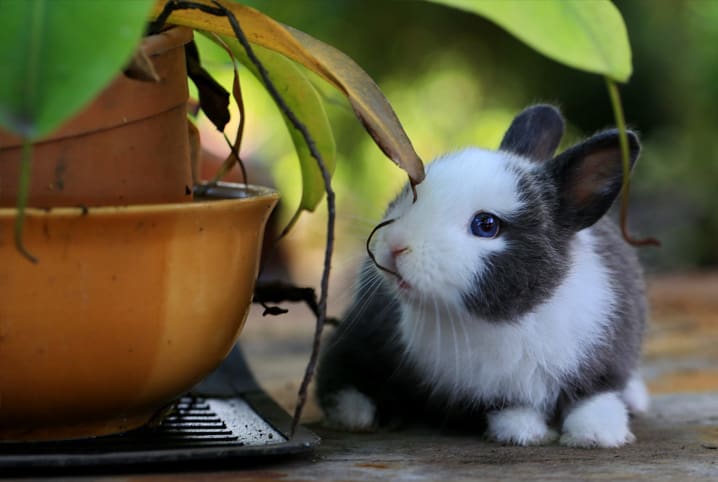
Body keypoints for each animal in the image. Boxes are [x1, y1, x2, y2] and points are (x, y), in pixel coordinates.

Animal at [318, 104, 656, 448]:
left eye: (486, 225)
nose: (394, 245)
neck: (511, 320)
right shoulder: (494, 391)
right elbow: (511, 407)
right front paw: (524, 433)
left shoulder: (606, 358)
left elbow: (595, 397)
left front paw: (597, 435)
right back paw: (356, 415)